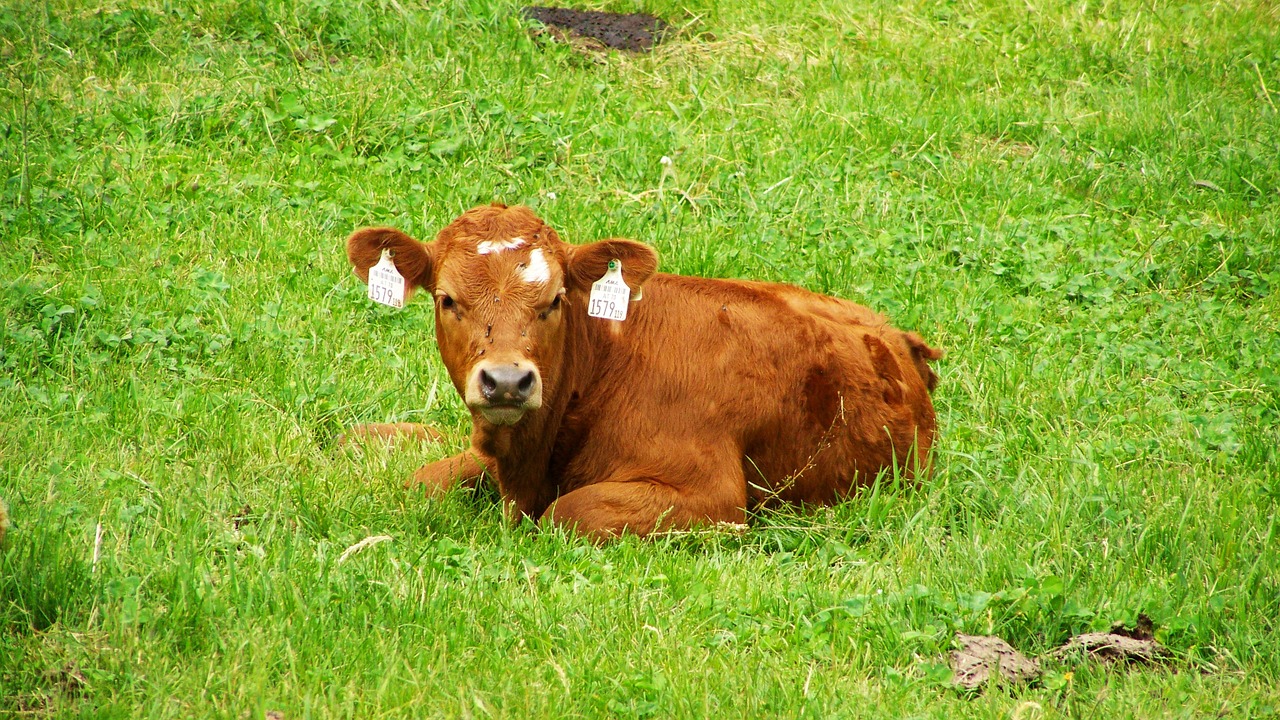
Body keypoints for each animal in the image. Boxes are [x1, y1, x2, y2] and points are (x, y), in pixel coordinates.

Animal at [348, 204, 942, 535]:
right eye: (446, 299)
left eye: (555, 299)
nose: (508, 382)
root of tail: (898, 337)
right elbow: (423, 481)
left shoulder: (712, 496)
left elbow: (567, 513)